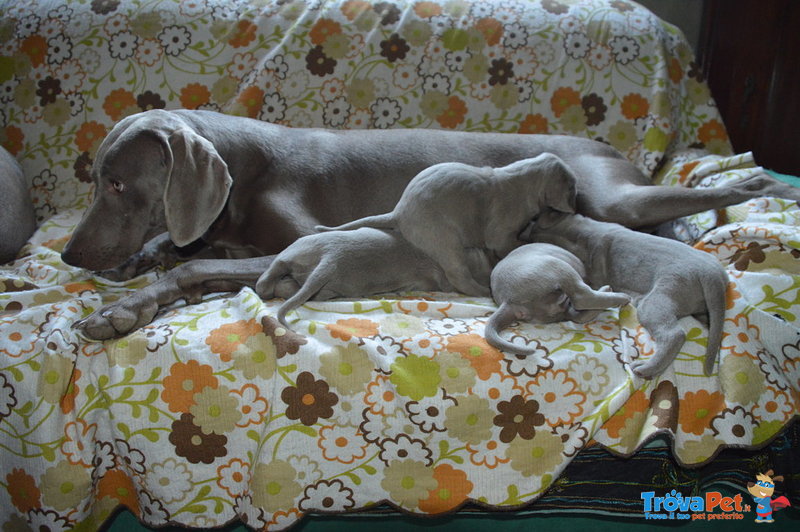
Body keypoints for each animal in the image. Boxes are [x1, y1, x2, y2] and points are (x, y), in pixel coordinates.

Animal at [316, 154, 580, 298]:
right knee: (458, 275)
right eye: (573, 187)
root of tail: (399, 212)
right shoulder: (501, 232)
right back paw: (484, 291)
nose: (577, 206)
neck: (524, 176)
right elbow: (507, 243)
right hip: (444, 239)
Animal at [484, 243, 636, 356]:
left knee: (577, 315)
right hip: (557, 266)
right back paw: (619, 296)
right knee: (581, 298)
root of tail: (508, 301)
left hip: (558, 310)